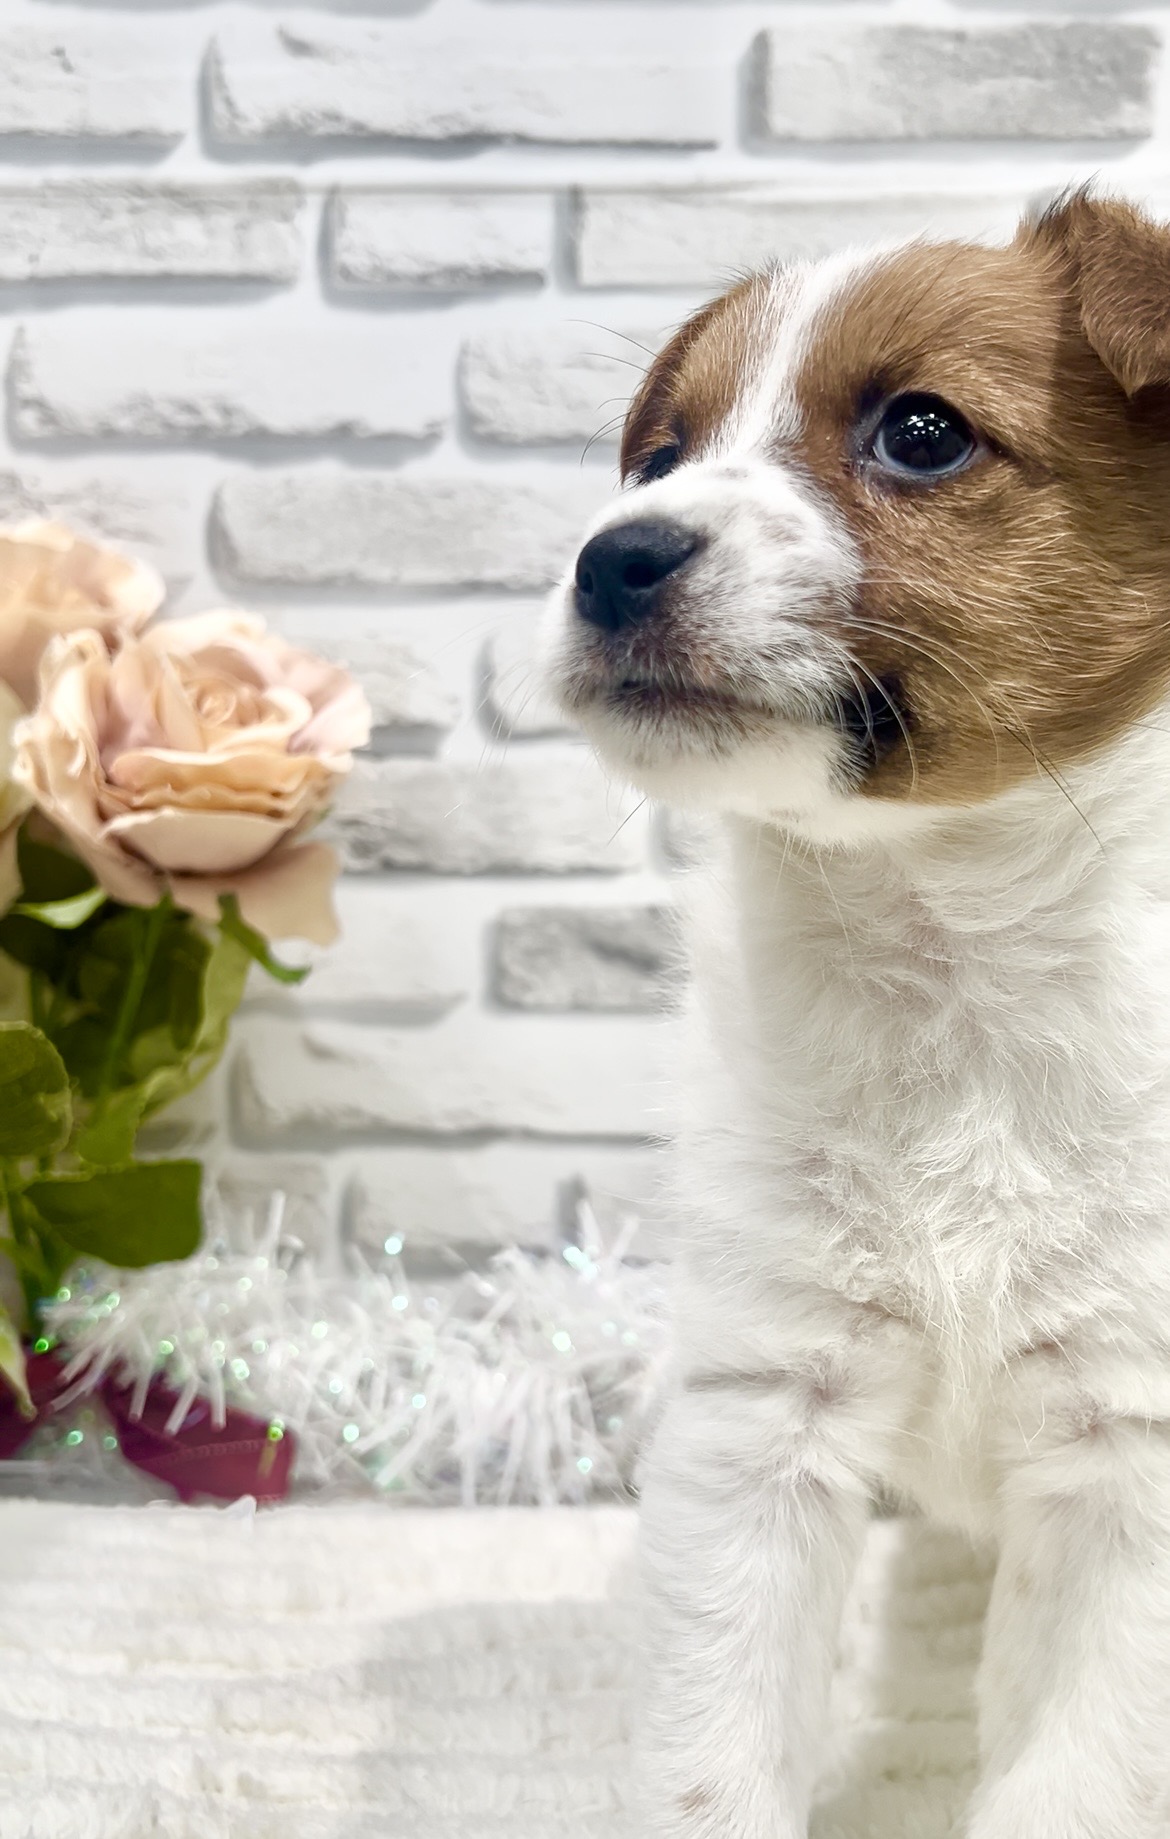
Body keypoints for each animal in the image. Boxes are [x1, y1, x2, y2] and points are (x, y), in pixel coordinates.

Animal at [541, 191, 1170, 1838]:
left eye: (922, 432)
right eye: (659, 459)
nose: (612, 559)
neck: (951, 943)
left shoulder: (1128, 1460)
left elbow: (1074, 1775)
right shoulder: (762, 1408)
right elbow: (708, 1757)